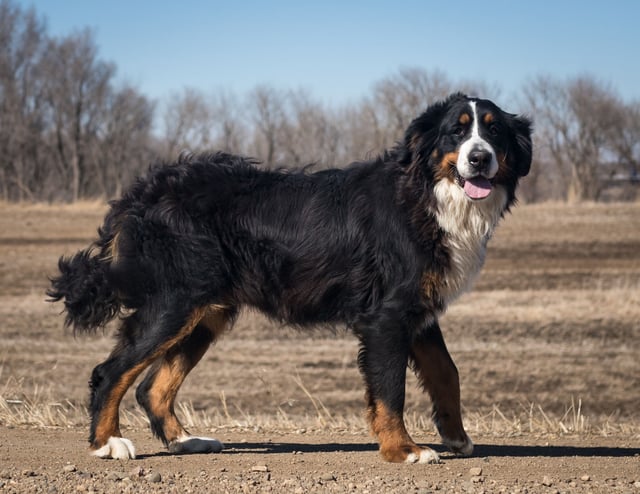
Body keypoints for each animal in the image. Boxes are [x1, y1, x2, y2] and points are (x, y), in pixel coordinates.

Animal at [48, 91, 528, 464]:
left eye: (494, 133)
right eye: (456, 132)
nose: (479, 158)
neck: (427, 196)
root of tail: (143, 192)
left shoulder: (419, 310)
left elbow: (447, 372)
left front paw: (456, 437)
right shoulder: (388, 316)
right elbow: (391, 390)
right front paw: (404, 449)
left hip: (204, 313)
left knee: (152, 386)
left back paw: (185, 441)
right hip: (174, 304)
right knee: (110, 372)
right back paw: (108, 444)